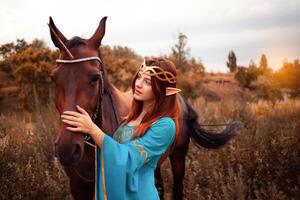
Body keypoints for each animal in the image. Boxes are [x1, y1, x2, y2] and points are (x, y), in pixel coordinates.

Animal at [48, 16, 237, 199]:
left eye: (95, 77)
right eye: (53, 78)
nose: (67, 149)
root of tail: (179, 97)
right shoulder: (78, 189)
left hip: (178, 158)